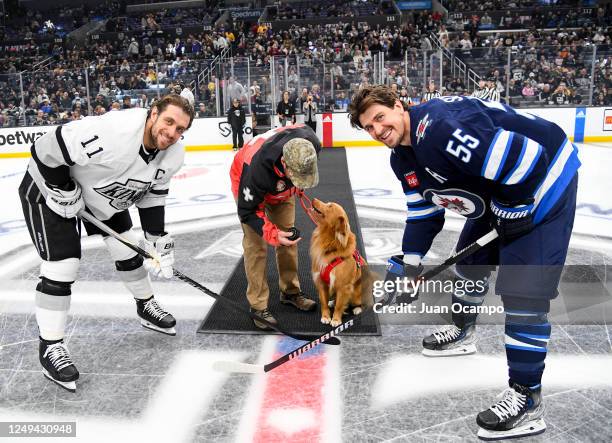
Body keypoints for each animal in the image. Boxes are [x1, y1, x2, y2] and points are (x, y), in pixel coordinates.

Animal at [310, 199, 372, 328]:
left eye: (330, 206)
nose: (313, 199)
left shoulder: (344, 286)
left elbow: (339, 305)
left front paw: (336, 319)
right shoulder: (321, 281)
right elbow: (323, 302)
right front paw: (325, 317)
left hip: (358, 292)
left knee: (361, 303)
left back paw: (357, 309)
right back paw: (332, 302)